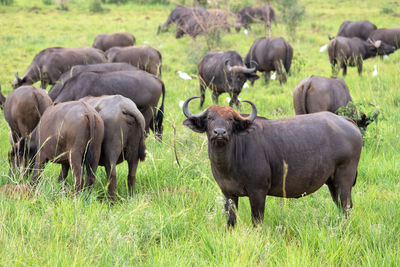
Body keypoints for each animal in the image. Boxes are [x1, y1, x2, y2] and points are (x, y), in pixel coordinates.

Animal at [183, 97, 364, 227]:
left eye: (230, 120)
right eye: (210, 118)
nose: (219, 133)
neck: (230, 163)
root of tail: (346, 121)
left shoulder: (258, 192)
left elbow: (257, 222)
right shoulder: (228, 193)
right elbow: (231, 221)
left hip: (344, 180)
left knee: (347, 207)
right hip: (332, 183)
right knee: (340, 206)